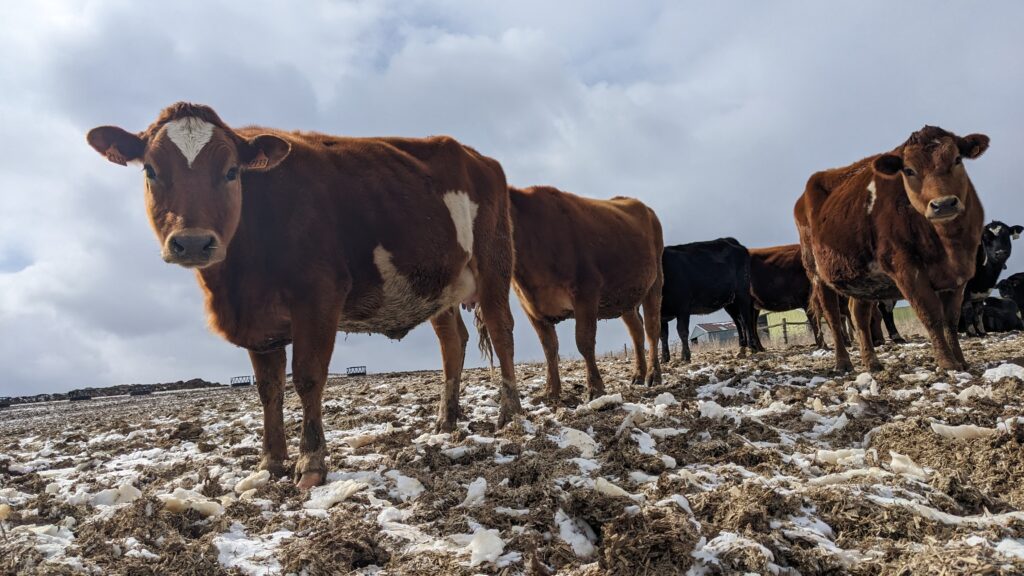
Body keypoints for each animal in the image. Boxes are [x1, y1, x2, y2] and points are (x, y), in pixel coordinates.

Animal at [87, 102, 522, 488]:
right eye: (151, 170)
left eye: (231, 172)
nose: (193, 242)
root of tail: (479, 157)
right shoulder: (259, 324)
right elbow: (269, 389)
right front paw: (270, 462)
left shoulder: (318, 298)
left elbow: (308, 378)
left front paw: (310, 463)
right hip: (437, 286)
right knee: (453, 343)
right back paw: (445, 421)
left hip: (494, 262)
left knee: (502, 332)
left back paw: (511, 415)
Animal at [506, 186, 663, 400]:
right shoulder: (530, 307)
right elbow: (549, 347)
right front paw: (551, 392)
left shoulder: (586, 292)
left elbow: (584, 342)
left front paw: (595, 389)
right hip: (625, 296)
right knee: (637, 330)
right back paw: (638, 374)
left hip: (655, 282)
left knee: (652, 328)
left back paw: (653, 375)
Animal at [795, 125, 989, 372]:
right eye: (908, 170)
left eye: (957, 159)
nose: (943, 204)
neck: (948, 245)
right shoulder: (905, 268)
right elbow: (931, 314)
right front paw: (947, 362)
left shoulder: (960, 274)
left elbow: (951, 320)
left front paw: (961, 361)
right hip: (817, 275)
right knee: (834, 318)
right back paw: (843, 363)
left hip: (863, 279)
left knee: (859, 315)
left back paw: (872, 362)